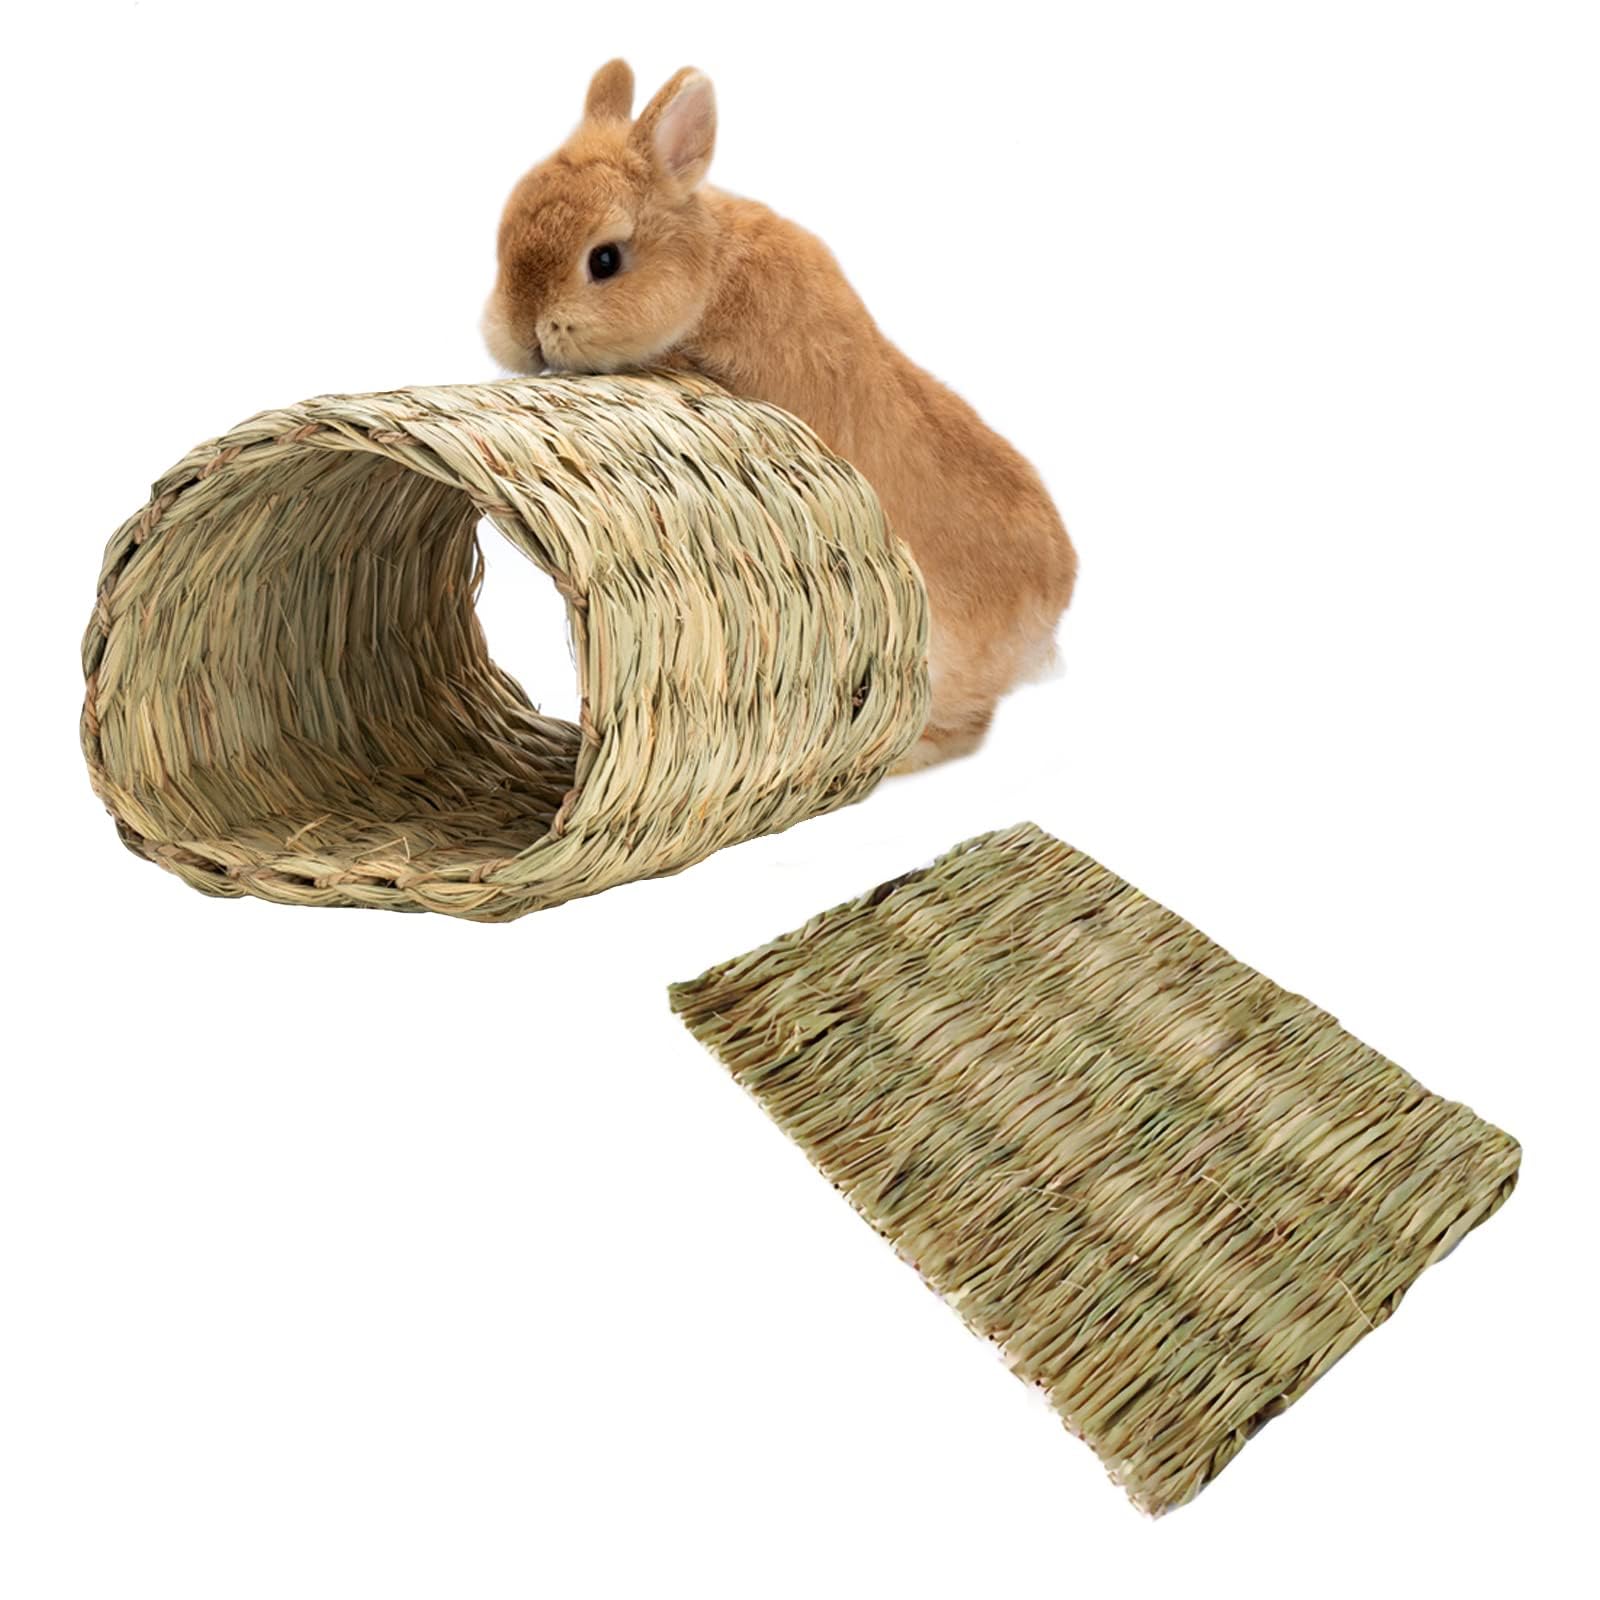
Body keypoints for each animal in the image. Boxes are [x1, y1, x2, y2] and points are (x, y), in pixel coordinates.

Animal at [482, 59, 1077, 770]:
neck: (710, 270)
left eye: (605, 259)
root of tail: (1057, 601)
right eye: (503, 238)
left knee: (966, 726)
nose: (523, 332)